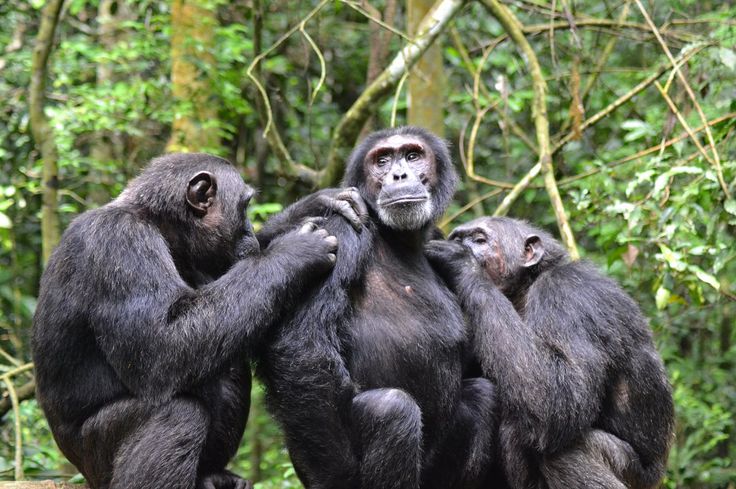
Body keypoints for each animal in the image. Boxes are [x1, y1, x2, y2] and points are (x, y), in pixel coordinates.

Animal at [31, 153, 344, 488]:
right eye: (245, 206)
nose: (249, 230)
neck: (158, 225)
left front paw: (311, 206)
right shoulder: (120, 244)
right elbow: (160, 346)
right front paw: (294, 251)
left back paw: (212, 475)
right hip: (96, 460)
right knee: (179, 415)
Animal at [256, 127, 498, 488]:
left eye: (412, 155)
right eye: (382, 160)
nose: (399, 174)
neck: (397, 236)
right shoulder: (340, 230)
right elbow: (303, 342)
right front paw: (337, 474)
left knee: (483, 396)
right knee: (391, 409)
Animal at [426, 216, 672, 488]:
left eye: (479, 240)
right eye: (457, 237)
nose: (461, 244)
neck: (527, 287)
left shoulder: (566, 294)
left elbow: (564, 395)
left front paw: (461, 264)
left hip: (633, 474)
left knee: (564, 450)